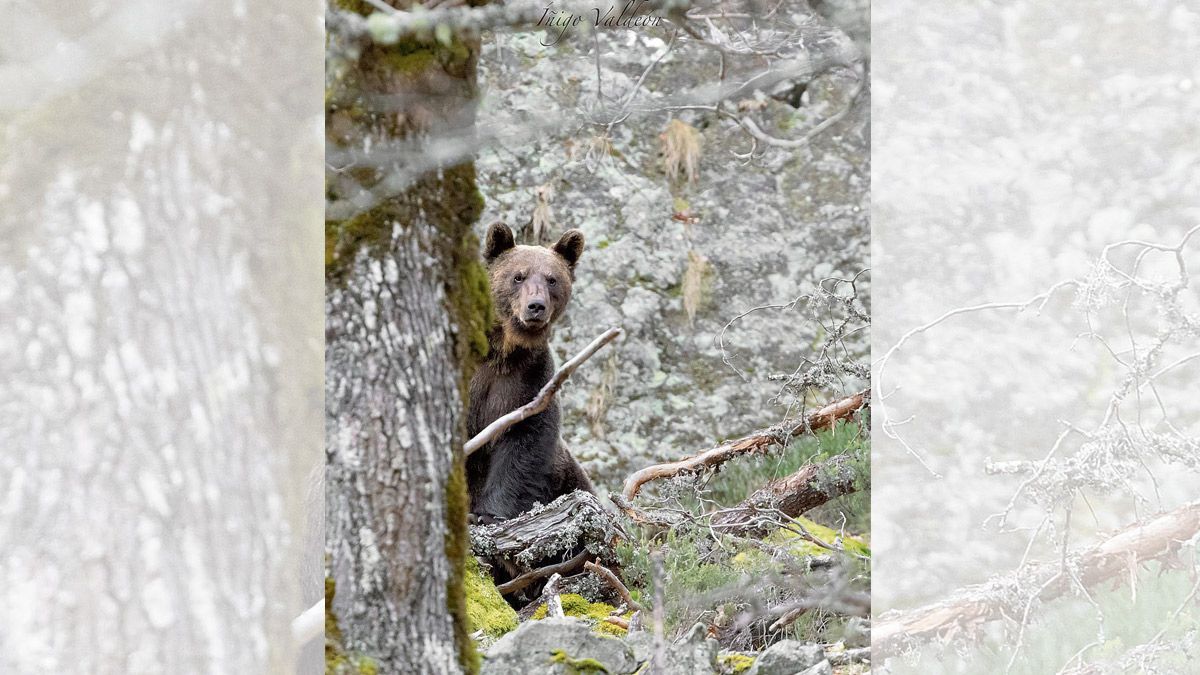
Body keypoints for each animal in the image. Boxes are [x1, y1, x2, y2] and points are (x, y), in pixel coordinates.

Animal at [468, 220, 600, 521]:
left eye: (552, 279)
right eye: (519, 276)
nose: (536, 306)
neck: (502, 352)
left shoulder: (530, 381)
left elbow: (524, 444)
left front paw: (490, 513)